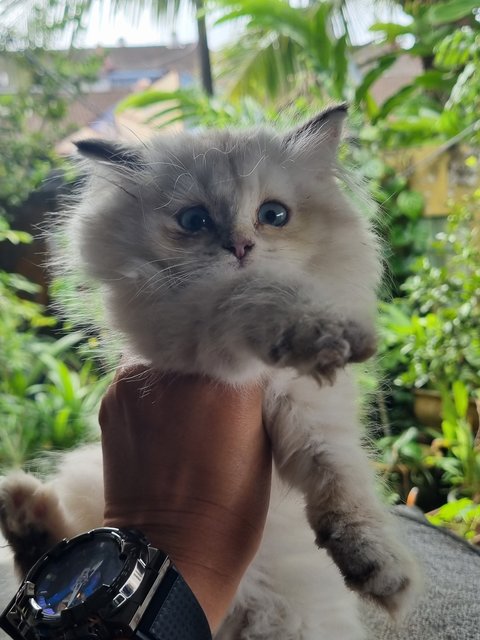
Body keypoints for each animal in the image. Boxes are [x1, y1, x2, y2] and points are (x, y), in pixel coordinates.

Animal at [0, 107, 416, 636]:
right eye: (194, 221)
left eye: (274, 215)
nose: (240, 247)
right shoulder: (189, 329)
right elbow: (243, 295)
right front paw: (316, 329)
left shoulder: (312, 415)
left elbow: (342, 481)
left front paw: (380, 567)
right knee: (55, 563)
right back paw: (21, 507)